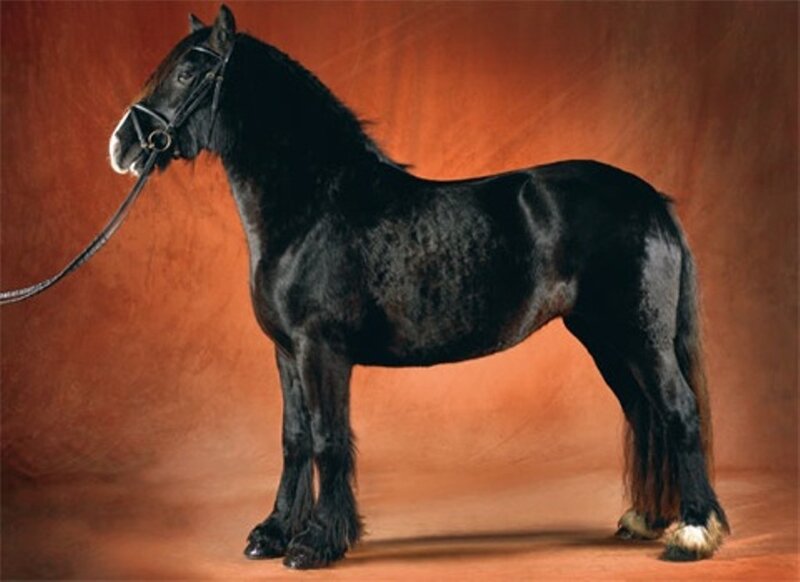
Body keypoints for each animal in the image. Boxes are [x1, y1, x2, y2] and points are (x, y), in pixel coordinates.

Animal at [108, 5, 729, 569]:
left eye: (188, 72)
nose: (121, 146)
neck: (316, 208)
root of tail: (653, 201)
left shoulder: (321, 350)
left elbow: (328, 439)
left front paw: (317, 543)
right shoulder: (286, 352)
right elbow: (294, 439)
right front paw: (274, 533)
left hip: (639, 337)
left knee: (678, 410)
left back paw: (693, 533)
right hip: (607, 340)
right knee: (645, 413)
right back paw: (648, 518)